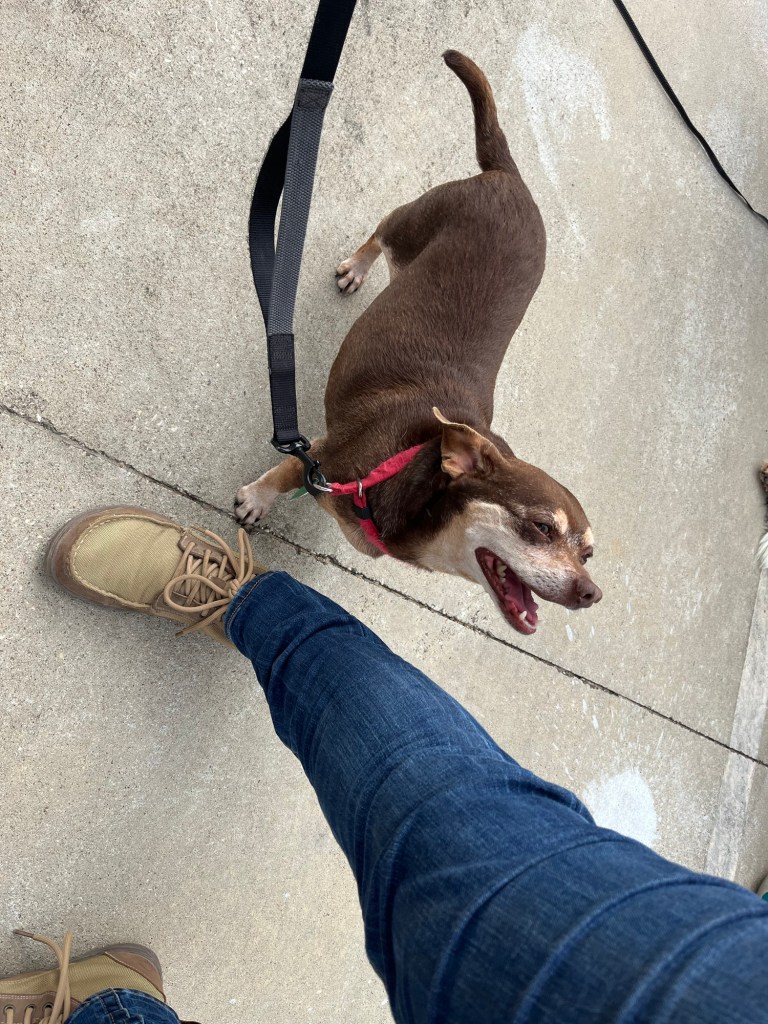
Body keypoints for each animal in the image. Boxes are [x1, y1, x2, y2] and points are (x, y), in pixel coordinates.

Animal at [235, 50, 601, 636]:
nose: (592, 593)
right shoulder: (318, 458)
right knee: (380, 233)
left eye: (588, 554)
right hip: (411, 224)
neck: (413, 468)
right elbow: (279, 471)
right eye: (543, 528)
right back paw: (357, 267)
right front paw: (254, 500)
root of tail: (510, 176)